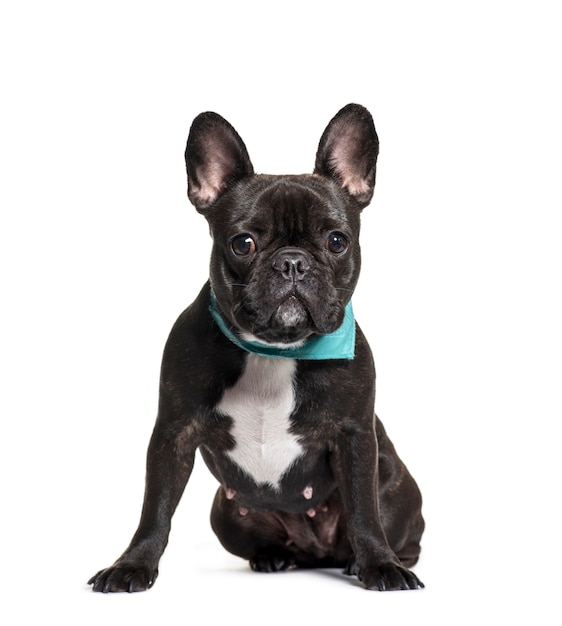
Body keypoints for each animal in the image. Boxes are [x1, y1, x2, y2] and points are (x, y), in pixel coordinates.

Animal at [87, 102, 422, 588]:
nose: (293, 262)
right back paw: (273, 557)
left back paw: (371, 561)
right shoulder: (172, 433)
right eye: (243, 243)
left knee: (393, 526)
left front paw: (381, 564)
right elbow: (156, 509)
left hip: (397, 489)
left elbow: (364, 511)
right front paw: (132, 564)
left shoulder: (355, 436)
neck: (274, 351)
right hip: (224, 512)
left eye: (337, 241)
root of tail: (317, 551)